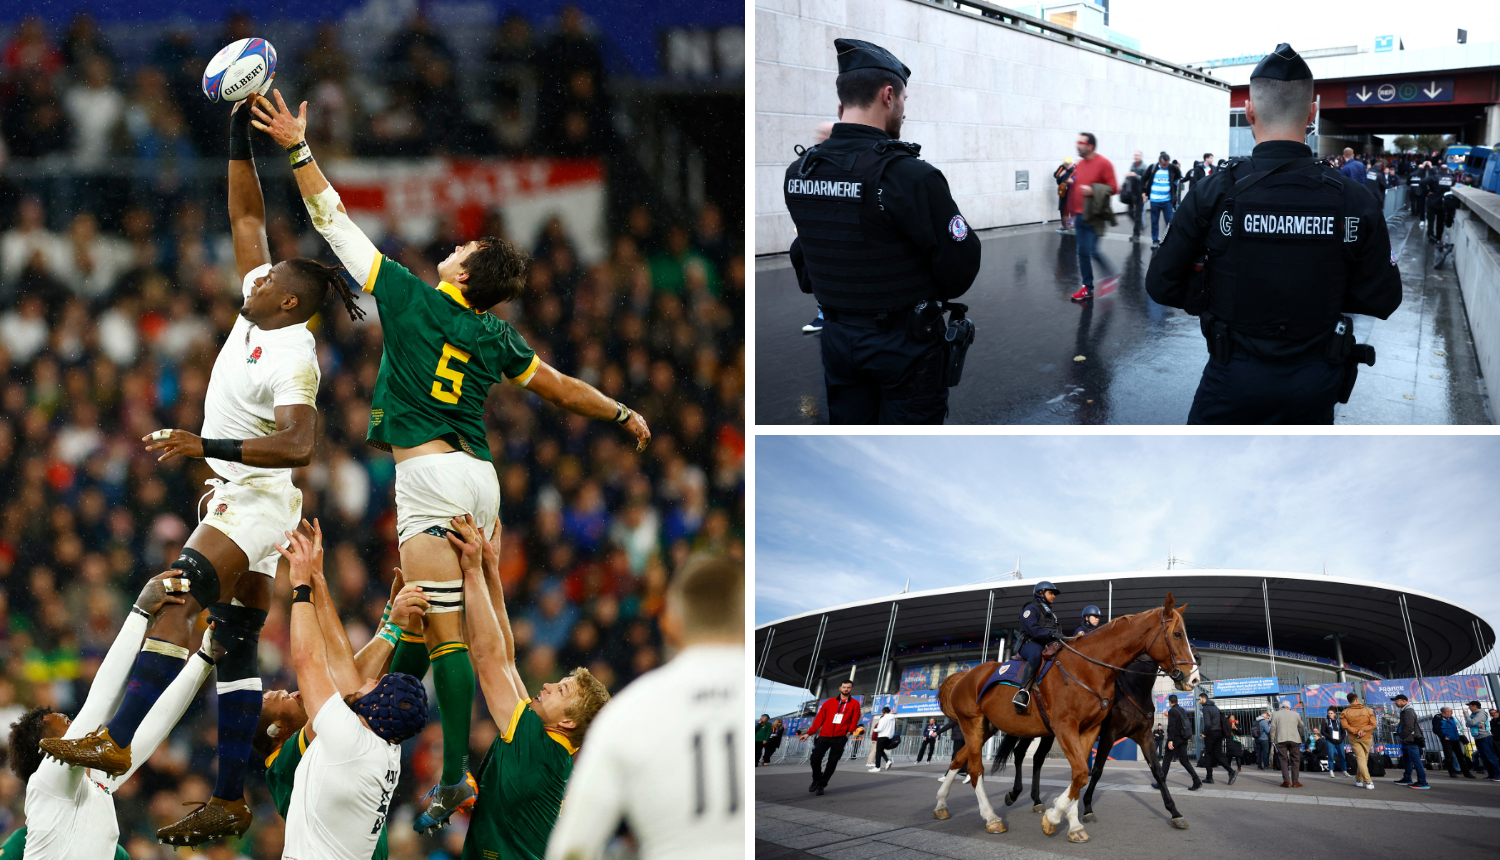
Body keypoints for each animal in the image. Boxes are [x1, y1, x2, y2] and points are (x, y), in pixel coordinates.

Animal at [936, 594, 1194, 840]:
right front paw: (1059, 816)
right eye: (1178, 634)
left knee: (964, 758)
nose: (1193, 677)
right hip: (974, 723)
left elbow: (1087, 774)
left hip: (991, 727)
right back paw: (992, 817)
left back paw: (942, 804)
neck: (1090, 670)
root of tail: (965, 676)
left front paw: (1073, 824)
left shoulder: (1105, 731)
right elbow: (1085, 772)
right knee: (977, 768)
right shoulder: (1077, 729)